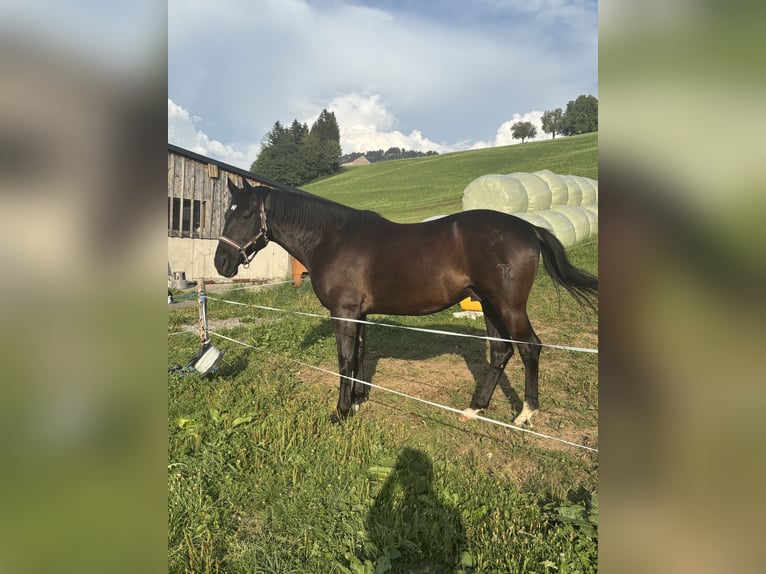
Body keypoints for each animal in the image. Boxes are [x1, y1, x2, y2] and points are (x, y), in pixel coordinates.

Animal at [214, 178, 597, 425]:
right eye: (225, 213)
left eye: (244, 215)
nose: (221, 262)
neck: (332, 238)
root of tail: (529, 228)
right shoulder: (360, 313)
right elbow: (359, 355)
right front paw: (358, 402)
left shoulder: (344, 312)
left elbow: (344, 359)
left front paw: (340, 412)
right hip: (489, 304)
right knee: (501, 351)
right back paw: (475, 408)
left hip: (509, 306)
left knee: (530, 347)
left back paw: (526, 413)